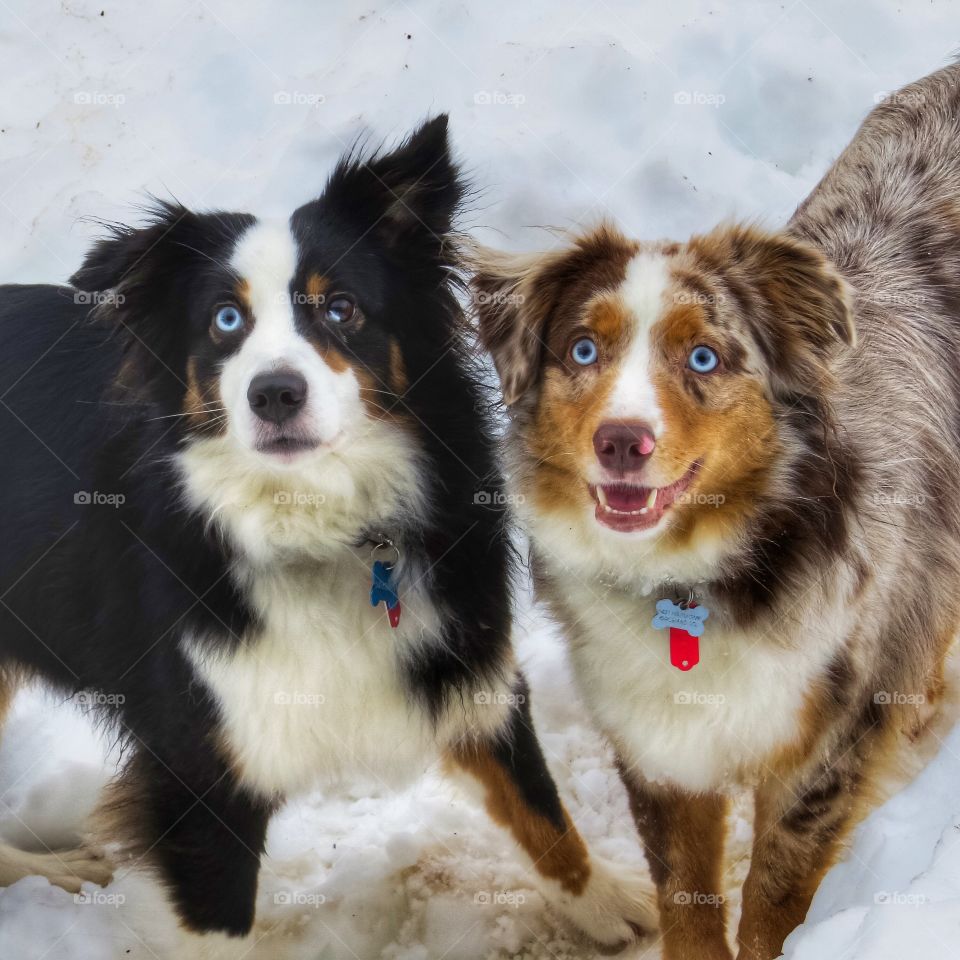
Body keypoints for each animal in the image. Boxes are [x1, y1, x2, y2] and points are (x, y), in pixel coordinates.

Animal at [0, 116, 652, 948]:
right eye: (226, 320)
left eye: (340, 307)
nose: (274, 393)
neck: (318, 524)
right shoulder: (199, 762)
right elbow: (220, 929)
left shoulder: (458, 650)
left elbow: (537, 803)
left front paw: (607, 902)